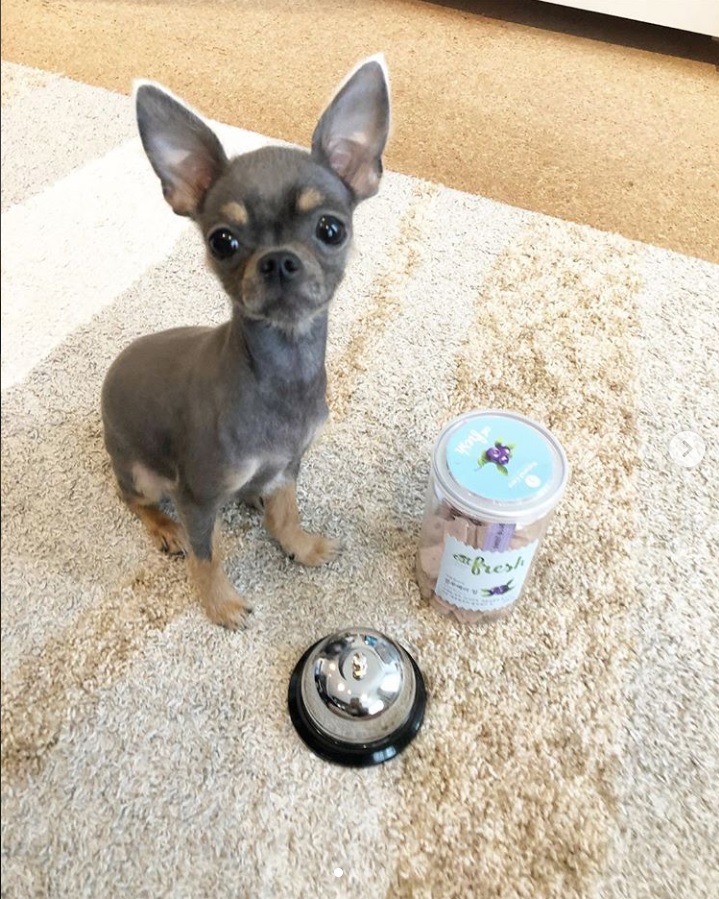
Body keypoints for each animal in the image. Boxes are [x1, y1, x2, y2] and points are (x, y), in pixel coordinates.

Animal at [100, 59, 390, 628]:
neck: (283, 370)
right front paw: (219, 602)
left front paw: (300, 545)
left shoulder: (291, 464)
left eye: (331, 229)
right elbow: (206, 553)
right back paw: (165, 528)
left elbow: (287, 510)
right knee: (135, 501)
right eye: (223, 241)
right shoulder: (196, 495)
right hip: (141, 473)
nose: (278, 260)